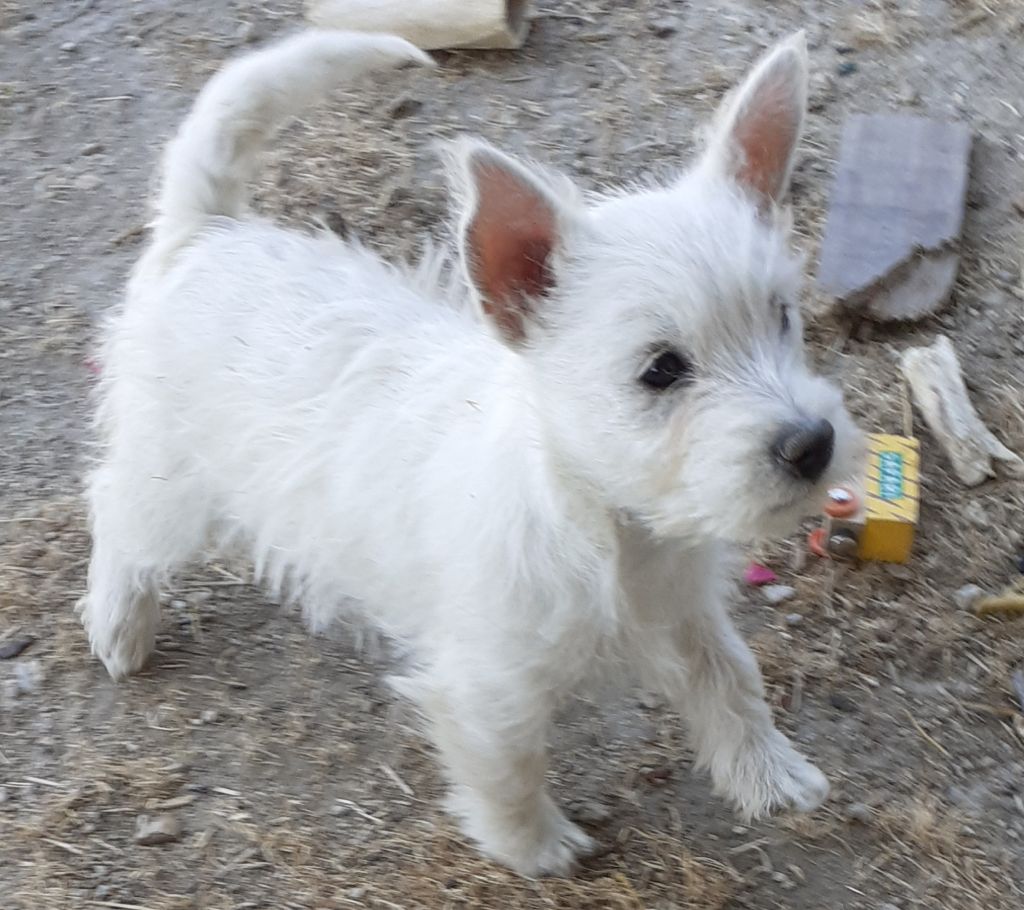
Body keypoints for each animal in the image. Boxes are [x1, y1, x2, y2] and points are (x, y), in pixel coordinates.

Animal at [80, 29, 862, 876]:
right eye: (661, 369)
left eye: (781, 316)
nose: (811, 444)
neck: (606, 523)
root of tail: (208, 233)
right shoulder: (488, 683)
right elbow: (507, 765)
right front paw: (536, 849)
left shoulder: (687, 614)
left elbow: (732, 683)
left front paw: (771, 776)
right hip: (169, 480)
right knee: (115, 515)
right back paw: (119, 626)